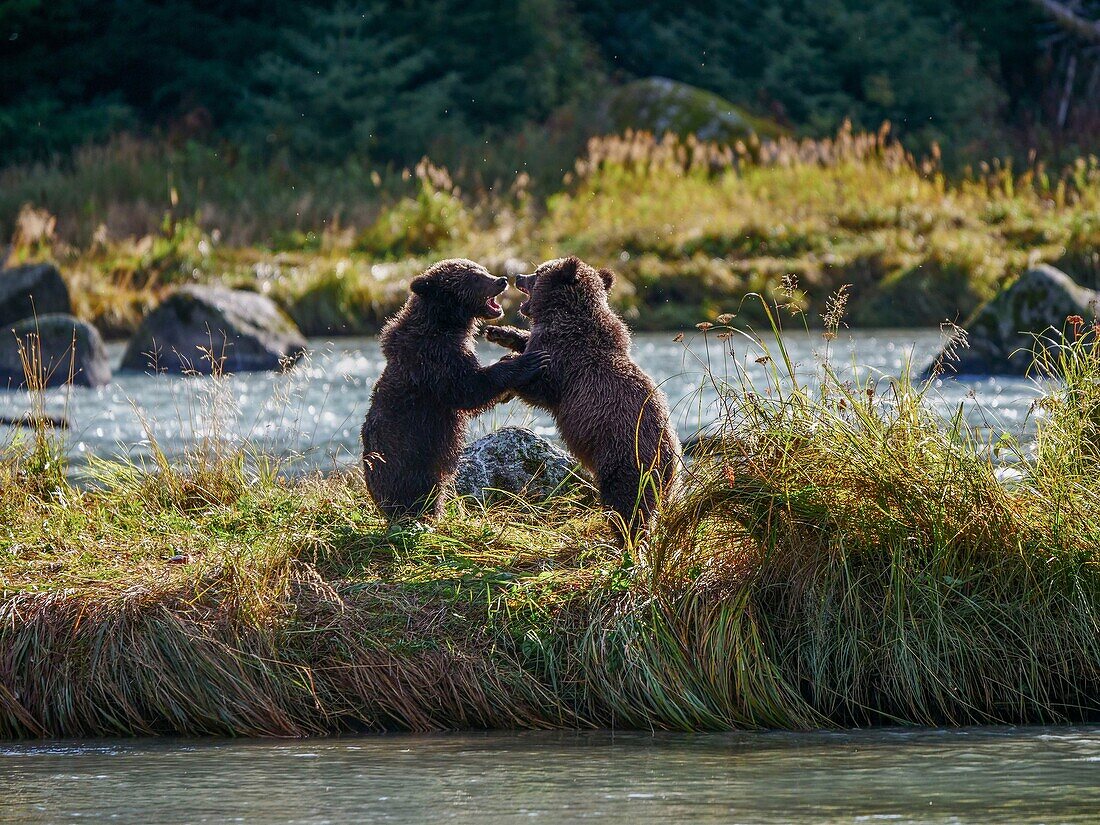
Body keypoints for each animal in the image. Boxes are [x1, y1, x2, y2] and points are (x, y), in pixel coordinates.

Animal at [363, 259, 547, 523]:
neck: (446, 322)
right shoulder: (434, 359)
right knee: (423, 492)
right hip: (411, 458)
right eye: (474, 278)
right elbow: (468, 389)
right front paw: (525, 361)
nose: (501, 280)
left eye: (482, 270)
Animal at [488, 258, 682, 543]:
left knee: (626, 508)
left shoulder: (568, 364)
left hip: (625, 461)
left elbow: (542, 387)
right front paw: (499, 332)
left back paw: (626, 541)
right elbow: (528, 344)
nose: (518, 276)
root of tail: (673, 460)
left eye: (539, 271)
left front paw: (509, 370)